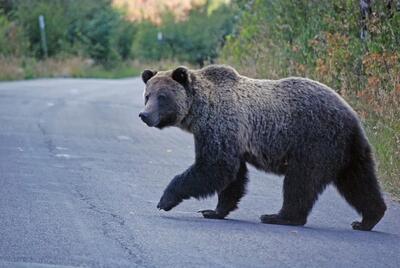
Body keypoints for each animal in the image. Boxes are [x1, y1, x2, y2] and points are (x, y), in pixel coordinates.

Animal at [139, 64, 386, 230]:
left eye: (162, 96)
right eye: (147, 95)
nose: (144, 115)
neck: (199, 111)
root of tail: (351, 115)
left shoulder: (220, 126)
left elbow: (214, 167)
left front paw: (165, 199)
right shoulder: (232, 138)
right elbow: (232, 177)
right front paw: (214, 210)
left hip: (315, 141)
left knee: (301, 181)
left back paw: (279, 217)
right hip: (348, 149)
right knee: (358, 181)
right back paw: (368, 218)